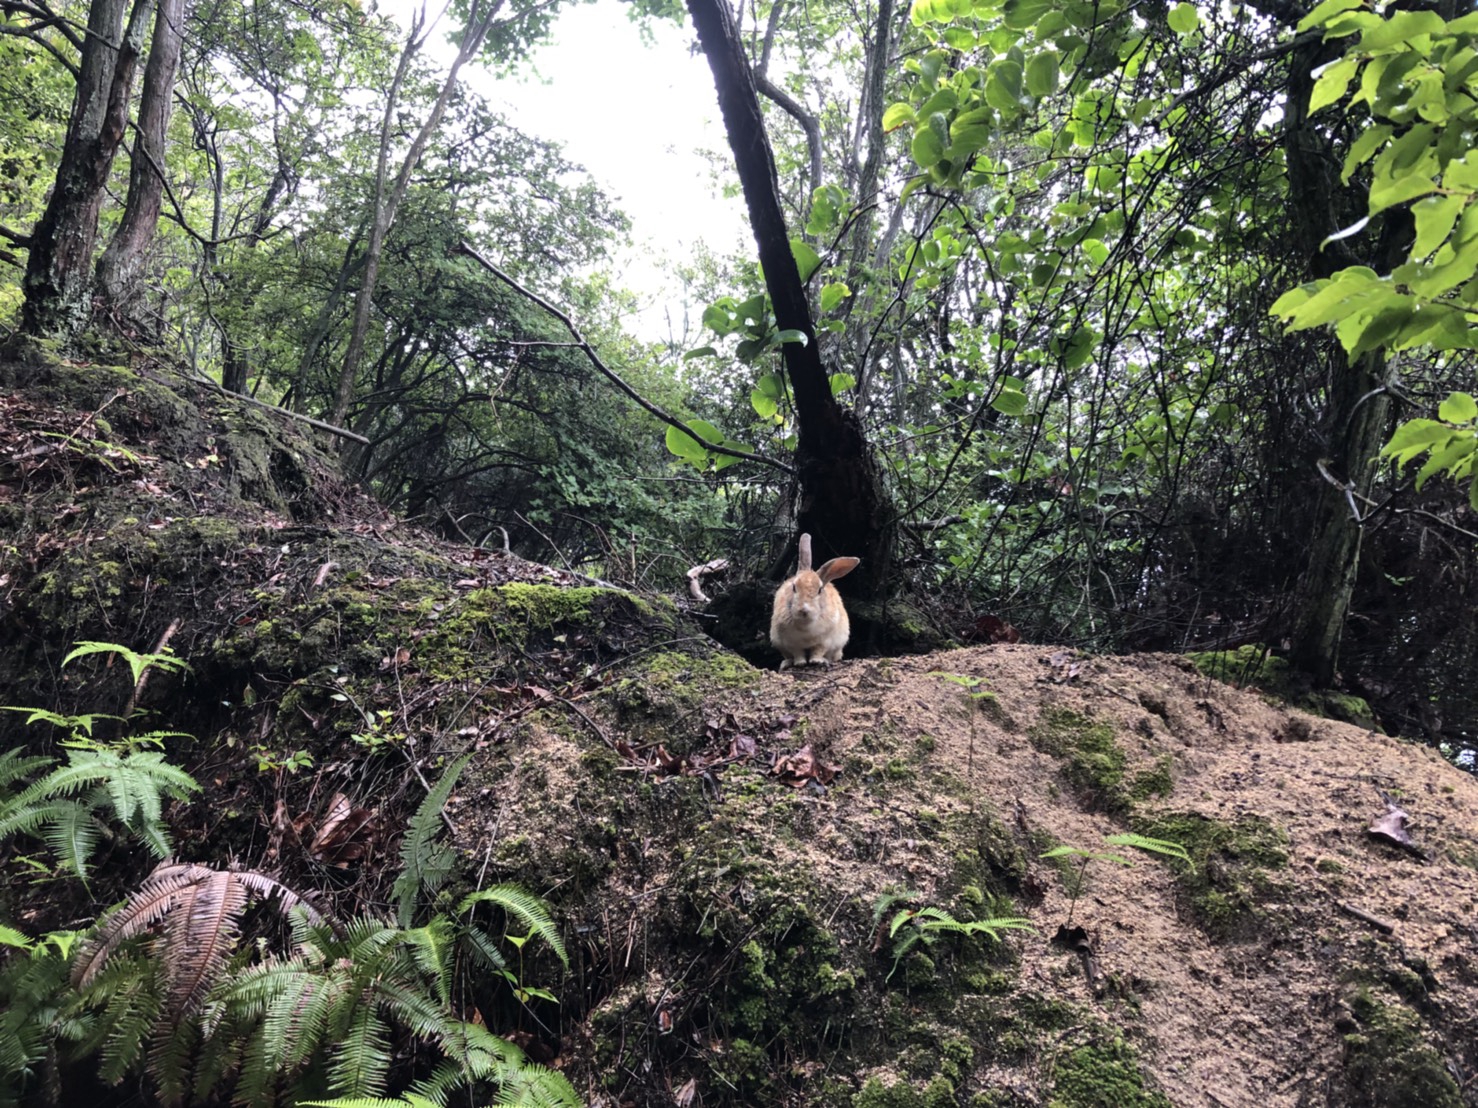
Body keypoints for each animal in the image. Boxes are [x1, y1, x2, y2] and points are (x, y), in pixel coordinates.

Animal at [768, 534, 863, 673]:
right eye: (794, 587)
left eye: (819, 590)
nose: (804, 610)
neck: (805, 625)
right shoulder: (792, 643)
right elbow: (798, 653)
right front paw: (800, 663)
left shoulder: (824, 641)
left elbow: (818, 651)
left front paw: (816, 661)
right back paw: (786, 663)